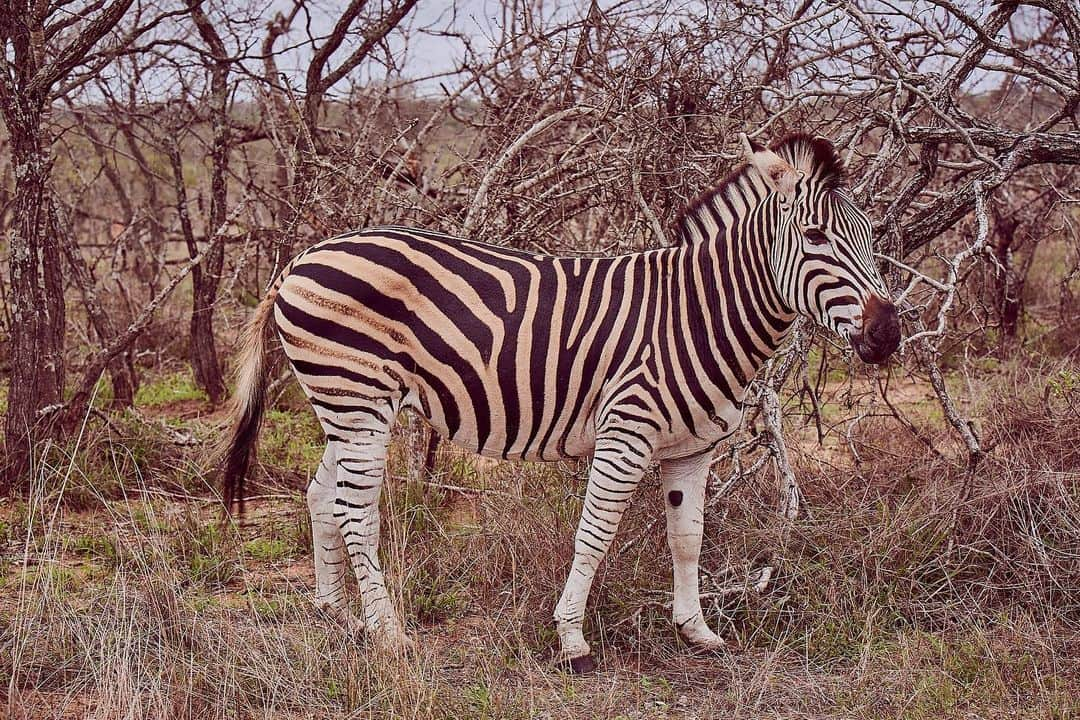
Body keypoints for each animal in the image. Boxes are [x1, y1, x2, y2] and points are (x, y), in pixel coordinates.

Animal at [219, 132, 902, 673]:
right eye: (815, 237)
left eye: (871, 236)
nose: (889, 333)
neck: (698, 314)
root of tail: (300, 260)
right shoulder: (627, 431)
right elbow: (594, 535)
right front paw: (572, 639)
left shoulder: (693, 448)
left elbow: (688, 538)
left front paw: (698, 631)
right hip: (357, 399)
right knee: (356, 512)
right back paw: (389, 635)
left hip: (347, 406)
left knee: (322, 495)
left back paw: (337, 614)